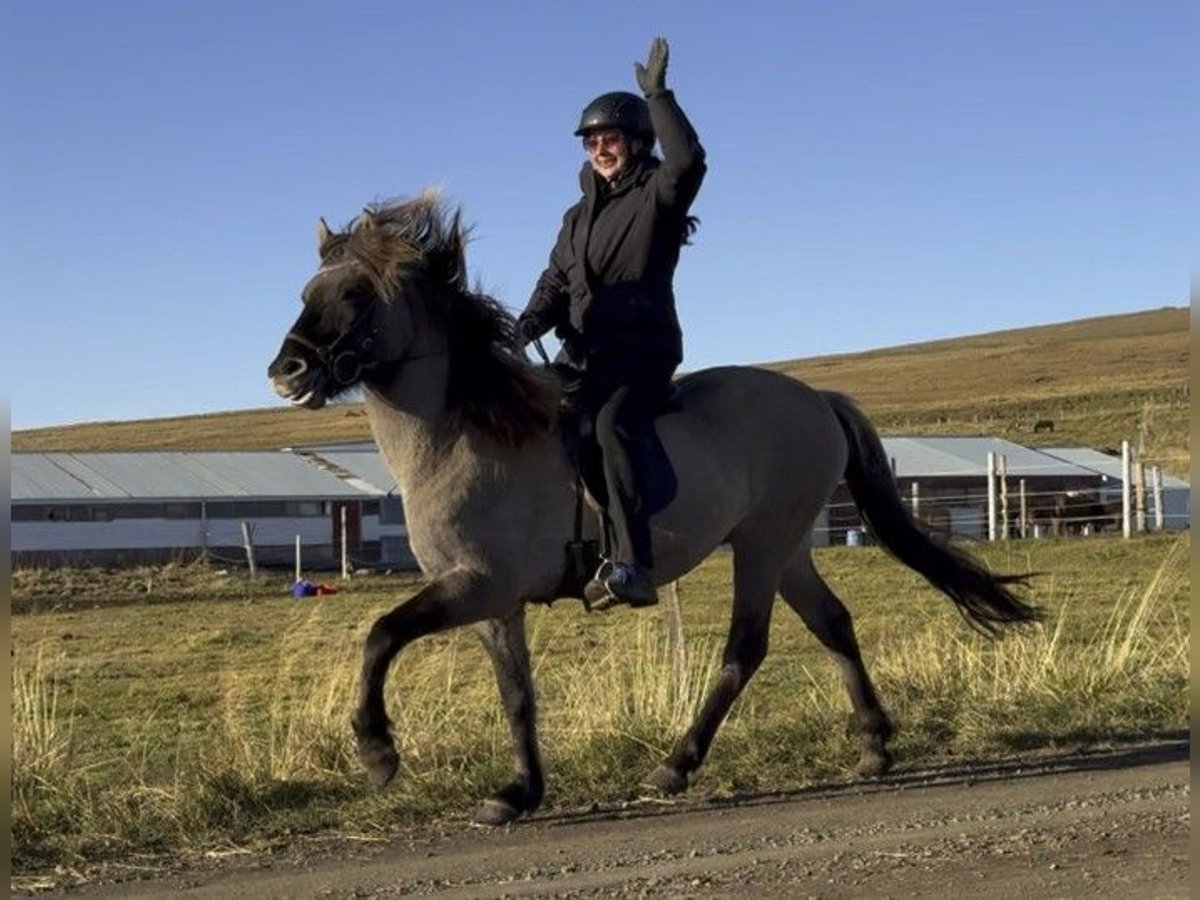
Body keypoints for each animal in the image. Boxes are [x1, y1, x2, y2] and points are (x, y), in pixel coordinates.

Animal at [265, 194, 1041, 830]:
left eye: (356, 292)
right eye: (306, 291)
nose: (285, 373)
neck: (465, 434)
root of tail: (817, 400)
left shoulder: (477, 585)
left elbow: (380, 635)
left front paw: (377, 753)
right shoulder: (492, 601)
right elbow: (516, 693)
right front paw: (518, 793)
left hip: (761, 546)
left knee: (745, 649)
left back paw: (676, 764)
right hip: (786, 544)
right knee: (832, 623)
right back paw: (874, 745)